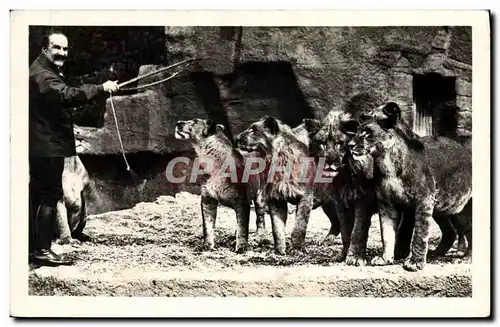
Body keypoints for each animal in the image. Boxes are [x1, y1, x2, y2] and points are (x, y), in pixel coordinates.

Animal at [176, 118, 270, 254]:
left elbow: (243, 227)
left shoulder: (241, 201)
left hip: (260, 196)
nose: (178, 122)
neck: (210, 160)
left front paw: (241, 247)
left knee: (260, 218)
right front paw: (207, 246)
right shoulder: (208, 199)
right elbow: (208, 226)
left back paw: (261, 238)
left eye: (194, 121)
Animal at [352, 102, 472, 272]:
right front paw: (385, 259)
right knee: (452, 231)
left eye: (368, 133)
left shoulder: (424, 200)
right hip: (448, 208)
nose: (350, 145)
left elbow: (420, 233)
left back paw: (466, 258)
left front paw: (414, 263)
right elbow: (387, 233)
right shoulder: (386, 203)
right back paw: (437, 253)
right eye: (357, 130)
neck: (386, 162)